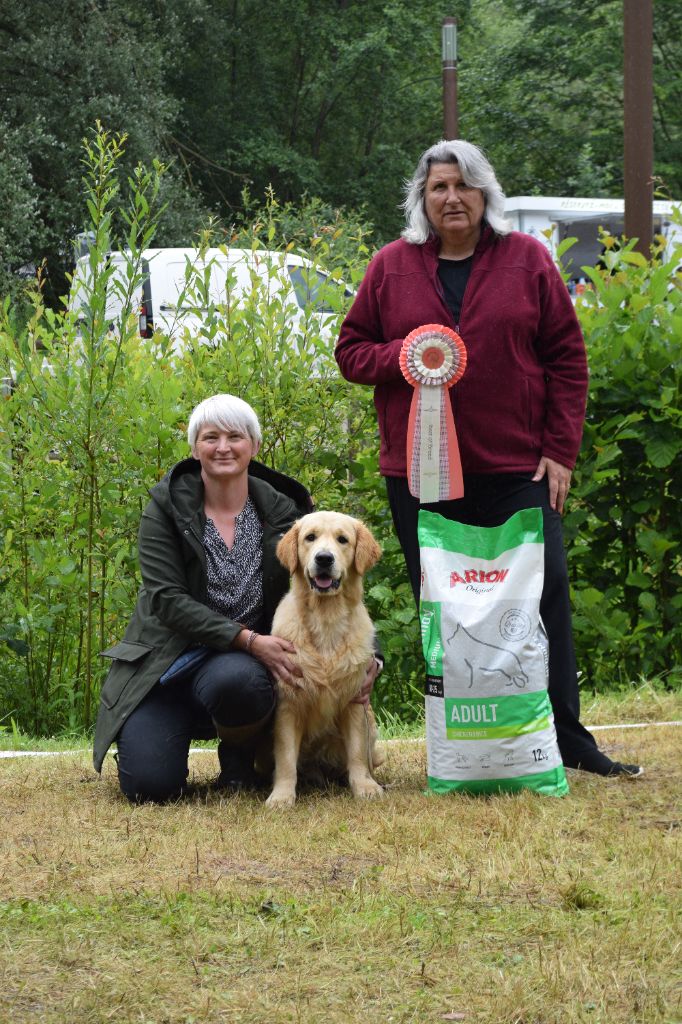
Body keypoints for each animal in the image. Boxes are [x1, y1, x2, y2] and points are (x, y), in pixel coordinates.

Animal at [264, 512, 382, 806]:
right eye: (310, 537)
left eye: (343, 539)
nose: (324, 559)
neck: (326, 618)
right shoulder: (288, 703)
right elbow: (286, 758)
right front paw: (282, 796)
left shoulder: (354, 700)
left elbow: (356, 752)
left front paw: (364, 787)